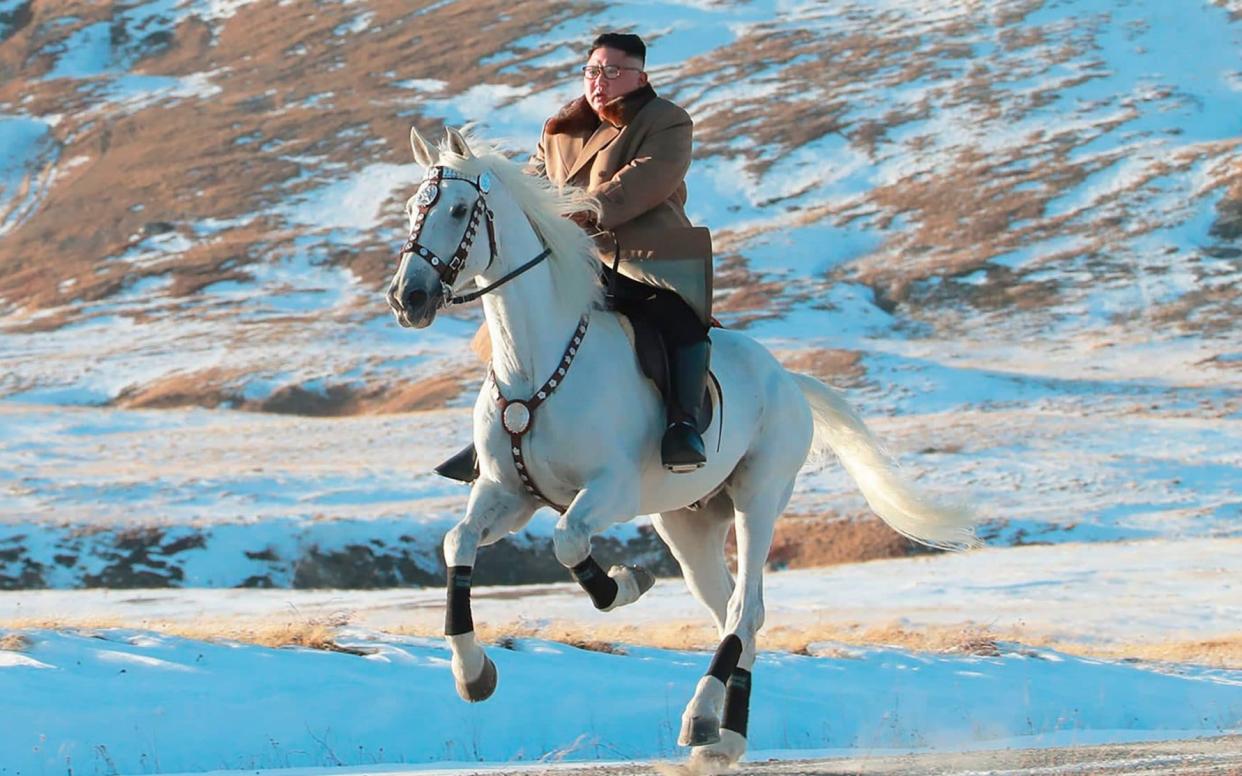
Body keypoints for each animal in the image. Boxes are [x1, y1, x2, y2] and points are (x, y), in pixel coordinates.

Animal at [382, 125, 973, 769]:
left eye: (458, 209)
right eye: (413, 208)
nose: (408, 298)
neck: (535, 361)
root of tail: (789, 379)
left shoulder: (609, 491)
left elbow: (568, 542)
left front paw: (624, 583)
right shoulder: (507, 493)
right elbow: (457, 542)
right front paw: (473, 672)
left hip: (758, 497)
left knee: (744, 609)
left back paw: (700, 718)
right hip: (686, 524)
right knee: (735, 613)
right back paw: (725, 737)